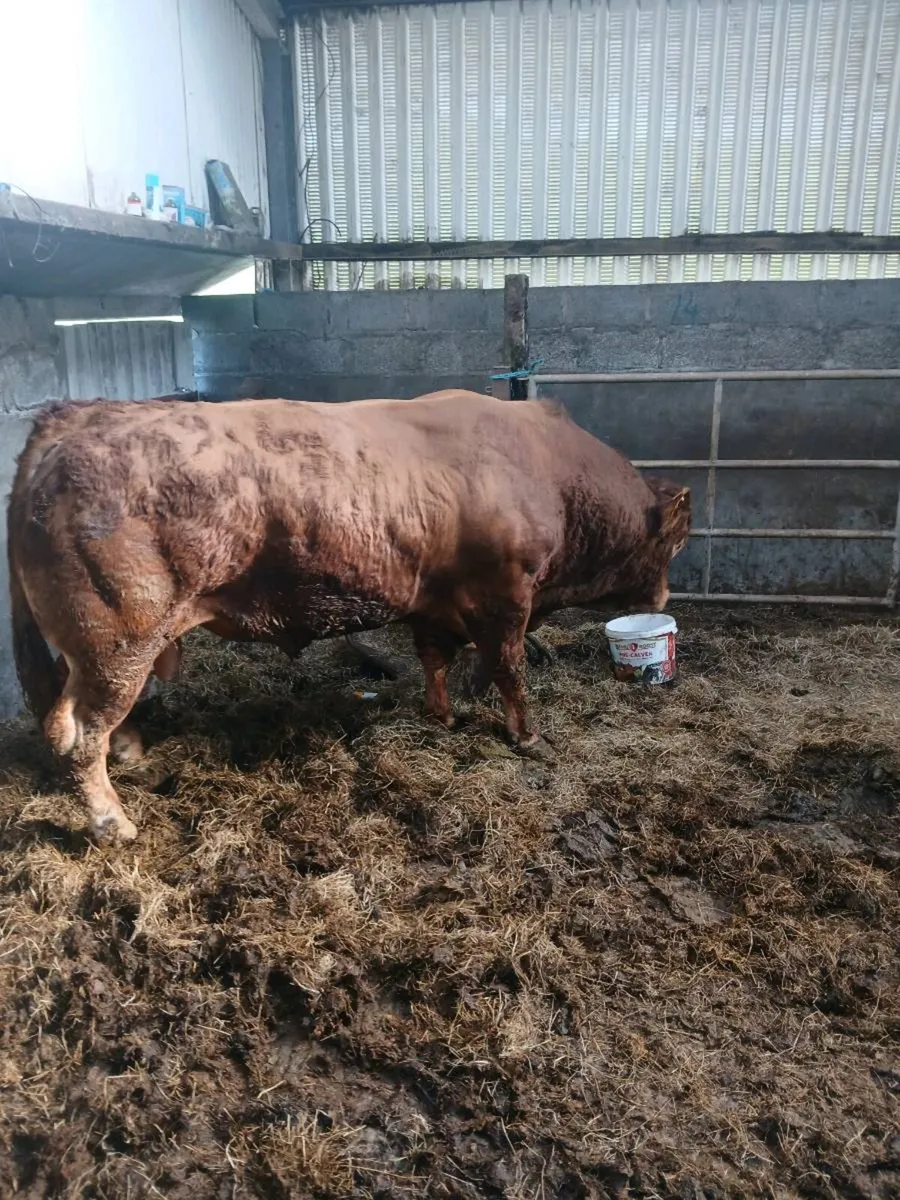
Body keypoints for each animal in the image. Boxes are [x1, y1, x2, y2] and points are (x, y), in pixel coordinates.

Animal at [7, 389, 690, 844]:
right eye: (677, 543)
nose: (662, 601)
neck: (546, 468)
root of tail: (77, 414)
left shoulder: (434, 600)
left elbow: (435, 658)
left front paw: (442, 715)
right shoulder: (504, 596)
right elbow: (510, 669)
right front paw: (526, 736)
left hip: (107, 647)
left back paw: (131, 751)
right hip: (117, 635)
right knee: (76, 730)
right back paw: (113, 822)